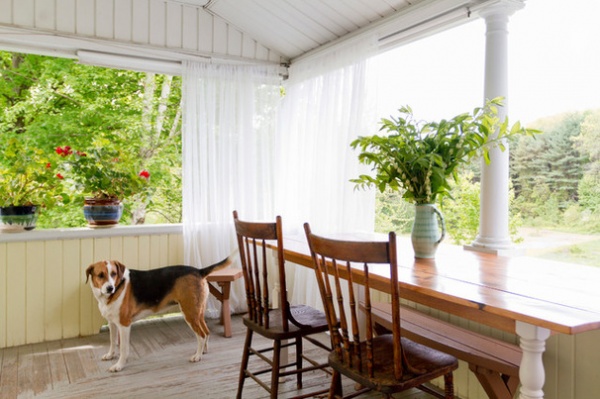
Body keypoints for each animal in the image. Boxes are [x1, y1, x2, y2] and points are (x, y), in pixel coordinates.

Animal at [84, 255, 234, 374]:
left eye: (114, 274)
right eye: (100, 275)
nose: (110, 288)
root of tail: (199, 270)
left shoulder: (124, 325)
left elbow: (123, 348)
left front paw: (119, 365)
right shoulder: (112, 323)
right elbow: (112, 342)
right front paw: (110, 355)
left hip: (189, 313)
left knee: (201, 335)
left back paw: (197, 356)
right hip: (197, 312)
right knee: (206, 332)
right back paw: (203, 352)